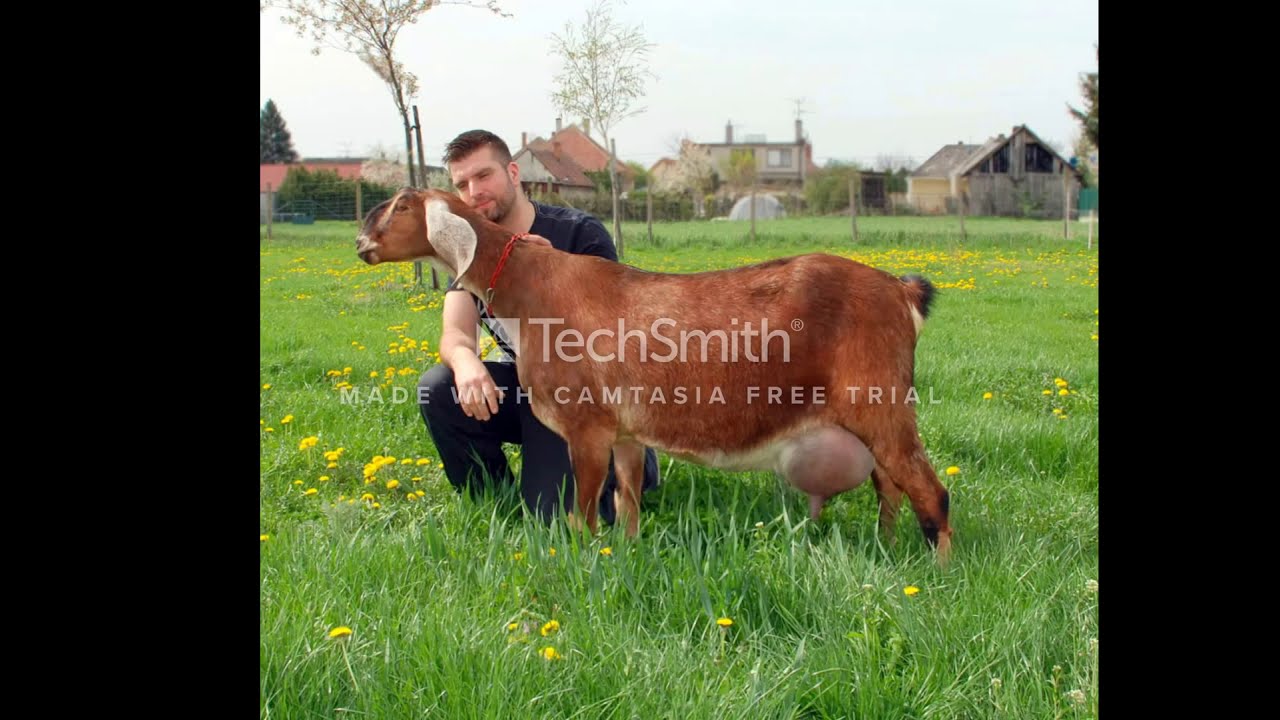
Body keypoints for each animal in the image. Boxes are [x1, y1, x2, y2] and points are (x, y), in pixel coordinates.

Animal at [356, 188, 953, 564]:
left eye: (402, 204)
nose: (361, 242)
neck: (533, 292)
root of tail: (901, 290)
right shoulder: (625, 432)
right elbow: (627, 503)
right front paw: (628, 552)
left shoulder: (588, 426)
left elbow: (580, 514)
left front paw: (583, 562)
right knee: (889, 486)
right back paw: (886, 549)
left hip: (881, 402)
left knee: (931, 491)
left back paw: (939, 573)